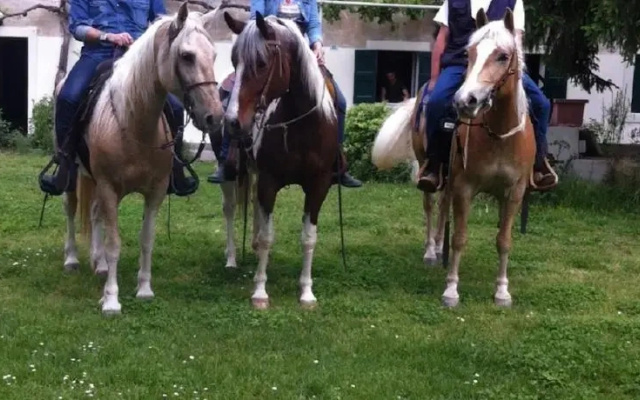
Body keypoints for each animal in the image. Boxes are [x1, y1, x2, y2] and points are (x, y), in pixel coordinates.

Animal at [59, 3, 224, 315]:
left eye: (214, 55)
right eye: (186, 55)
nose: (214, 117)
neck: (133, 123)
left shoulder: (155, 191)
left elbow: (146, 239)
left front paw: (145, 289)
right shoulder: (109, 188)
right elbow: (114, 242)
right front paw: (111, 299)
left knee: (94, 213)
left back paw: (98, 263)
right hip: (74, 175)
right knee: (72, 209)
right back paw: (72, 259)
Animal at [219, 11, 339, 309]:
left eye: (261, 63)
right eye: (234, 60)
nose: (232, 122)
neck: (301, 126)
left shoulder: (318, 185)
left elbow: (308, 238)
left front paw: (306, 292)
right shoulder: (269, 181)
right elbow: (267, 237)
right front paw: (260, 292)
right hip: (231, 175)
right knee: (230, 210)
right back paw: (231, 259)